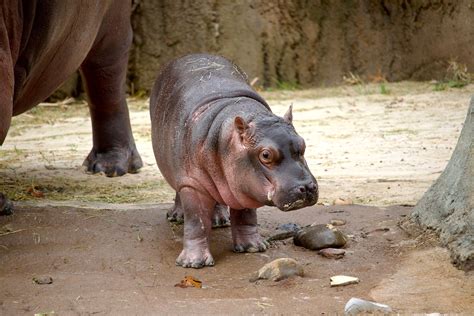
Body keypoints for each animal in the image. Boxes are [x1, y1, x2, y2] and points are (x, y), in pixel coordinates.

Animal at [149, 53, 318, 266]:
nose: (307, 187)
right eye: (265, 155)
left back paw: (220, 220)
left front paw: (253, 248)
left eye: (303, 144)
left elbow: (246, 216)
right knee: (179, 191)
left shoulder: (243, 186)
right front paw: (194, 263)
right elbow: (196, 222)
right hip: (178, 169)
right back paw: (176, 217)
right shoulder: (193, 184)